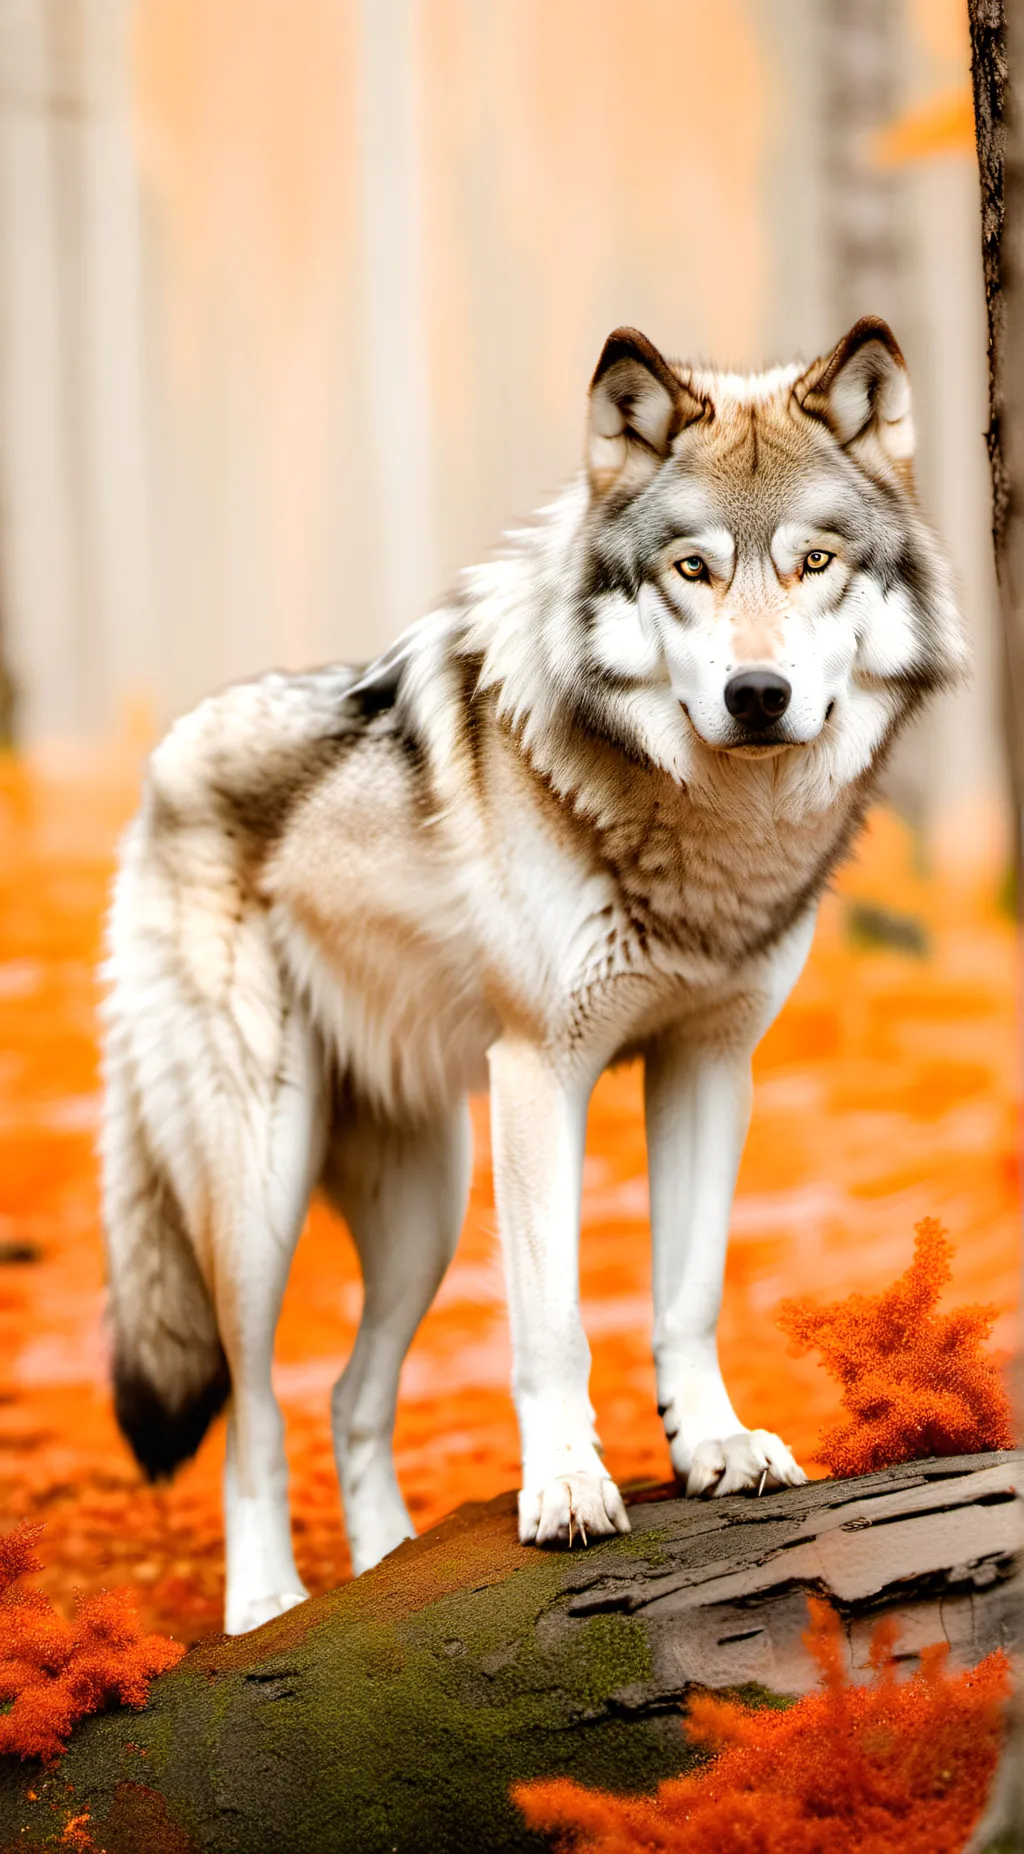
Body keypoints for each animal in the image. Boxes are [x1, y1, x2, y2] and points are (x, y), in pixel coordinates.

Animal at [101, 318, 964, 1633]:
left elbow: (687, 1293)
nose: (755, 695)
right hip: (261, 1176)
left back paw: (383, 1573)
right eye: (692, 569)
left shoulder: (708, 1068)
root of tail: (163, 763)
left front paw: (713, 1448)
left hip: (424, 1200)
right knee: (253, 1415)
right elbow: (553, 1326)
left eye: (814, 561)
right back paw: (267, 1608)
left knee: (351, 1397)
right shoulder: (539, 1074)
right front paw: (563, 1490)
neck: (705, 840)